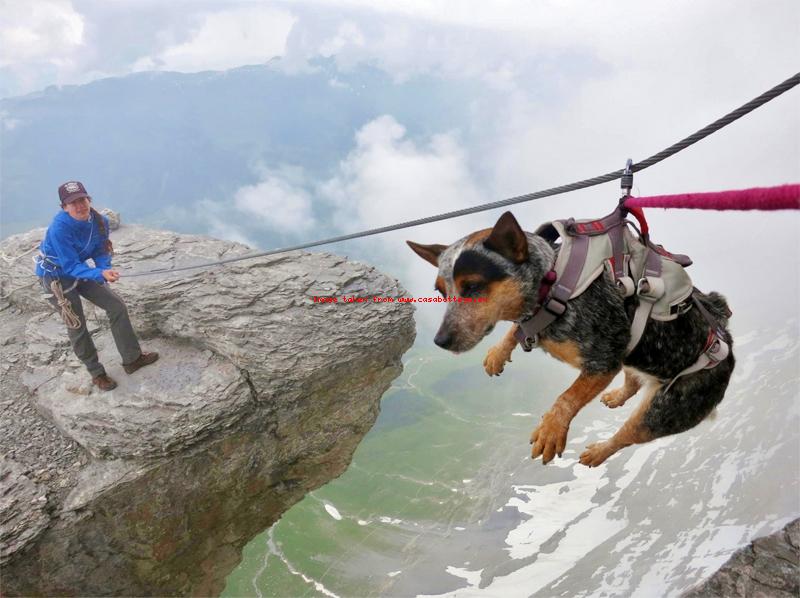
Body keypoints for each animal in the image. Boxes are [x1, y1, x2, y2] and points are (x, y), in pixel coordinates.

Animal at [410, 211, 736, 468]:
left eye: (473, 286)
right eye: (441, 291)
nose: (440, 340)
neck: (553, 286)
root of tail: (729, 358)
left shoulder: (603, 361)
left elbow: (567, 397)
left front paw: (551, 430)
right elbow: (516, 329)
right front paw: (498, 352)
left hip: (664, 410)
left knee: (628, 434)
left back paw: (600, 452)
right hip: (637, 358)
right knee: (632, 378)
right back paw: (618, 396)